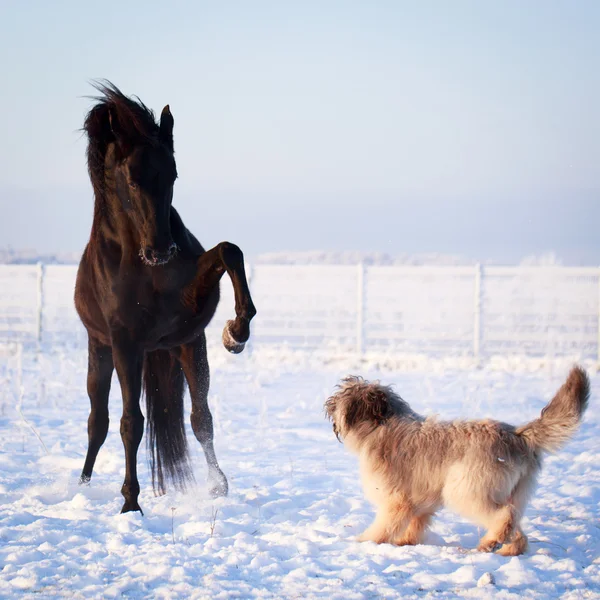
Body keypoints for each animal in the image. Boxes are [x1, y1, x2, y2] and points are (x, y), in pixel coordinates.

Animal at [75, 82, 255, 512]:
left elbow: (229, 250)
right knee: (97, 421)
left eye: (172, 173)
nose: (161, 250)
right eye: (130, 179)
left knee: (200, 417)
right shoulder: (125, 343)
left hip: (182, 349)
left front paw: (236, 332)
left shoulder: (189, 322)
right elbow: (130, 423)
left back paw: (217, 484)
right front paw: (130, 503)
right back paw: (83, 485)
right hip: (99, 350)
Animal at [326, 366, 588, 556]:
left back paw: (490, 542)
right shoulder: (422, 498)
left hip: (467, 489)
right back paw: (509, 549)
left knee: (504, 515)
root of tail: (518, 435)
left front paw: (366, 541)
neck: (381, 425)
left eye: (342, 396)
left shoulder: (396, 499)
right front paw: (406, 541)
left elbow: (385, 524)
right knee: (515, 522)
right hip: (515, 491)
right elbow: (416, 522)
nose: (328, 404)